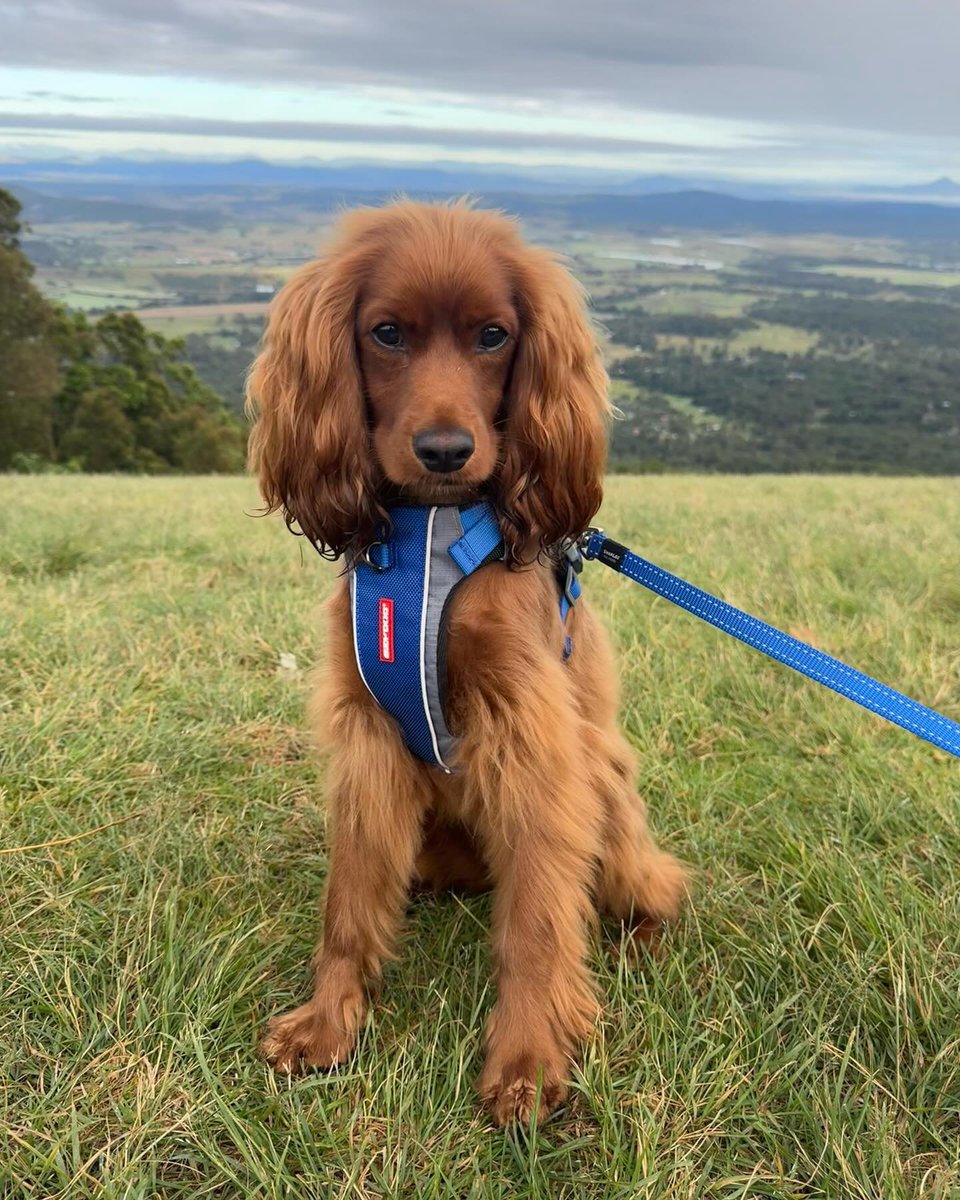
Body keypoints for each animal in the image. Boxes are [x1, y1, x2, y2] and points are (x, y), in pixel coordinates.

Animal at [243, 199, 686, 1123]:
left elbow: (537, 923)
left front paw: (527, 1058)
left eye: (493, 335)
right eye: (386, 333)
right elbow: (349, 902)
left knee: (653, 881)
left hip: (607, 785)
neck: (431, 537)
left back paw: (641, 934)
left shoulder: (533, 740)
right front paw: (327, 1022)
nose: (446, 450)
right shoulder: (368, 737)